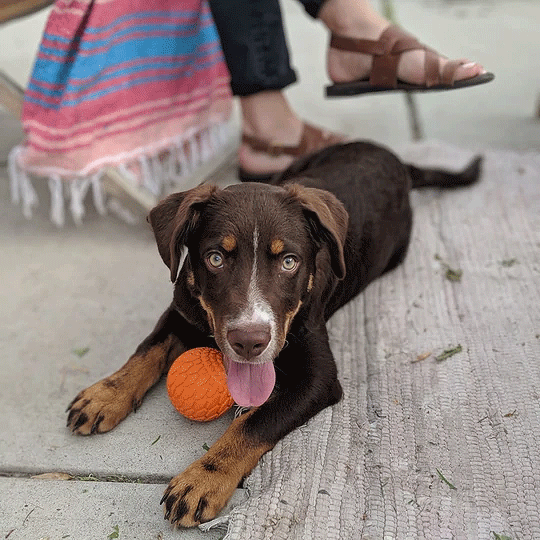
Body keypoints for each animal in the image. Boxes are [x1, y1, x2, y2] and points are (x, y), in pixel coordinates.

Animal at [66, 140, 480, 528]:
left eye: (289, 262)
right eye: (215, 258)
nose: (249, 342)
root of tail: (392, 156)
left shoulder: (318, 377)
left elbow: (255, 422)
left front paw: (202, 479)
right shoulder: (181, 309)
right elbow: (146, 350)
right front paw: (105, 395)